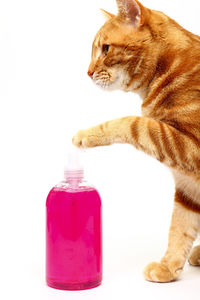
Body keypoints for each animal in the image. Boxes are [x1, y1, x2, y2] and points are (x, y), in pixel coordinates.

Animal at [72, 0, 200, 282]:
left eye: (106, 49)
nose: (88, 73)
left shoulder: (188, 146)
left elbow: (132, 122)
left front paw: (87, 134)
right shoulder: (187, 187)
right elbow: (180, 227)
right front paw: (169, 266)